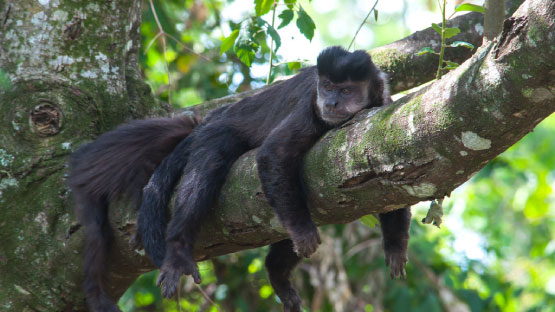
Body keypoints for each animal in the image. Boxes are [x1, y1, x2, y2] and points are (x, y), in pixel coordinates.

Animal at [138, 46, 412, 312]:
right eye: (327, 87)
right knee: (205, 171)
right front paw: (302, 232)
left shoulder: (383, 104)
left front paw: (395, 243)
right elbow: (273, 155)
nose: (331, 103)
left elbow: (392, 187)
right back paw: (177, 250)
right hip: (216, 132)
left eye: (346, 90)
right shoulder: (310, 108)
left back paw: (277, 271)